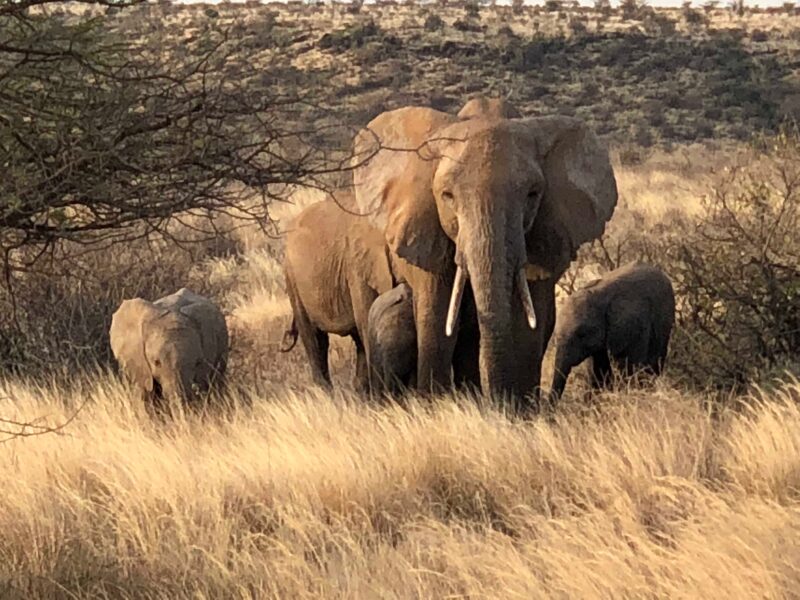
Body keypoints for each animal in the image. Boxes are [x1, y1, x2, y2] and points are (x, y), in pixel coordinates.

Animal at [350, 103, 620, 412]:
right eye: (447, 196)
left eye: (532, 194)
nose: (499, 403)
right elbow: (437, 321)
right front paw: (436, 408)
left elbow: (527, 325)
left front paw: (520, 414)